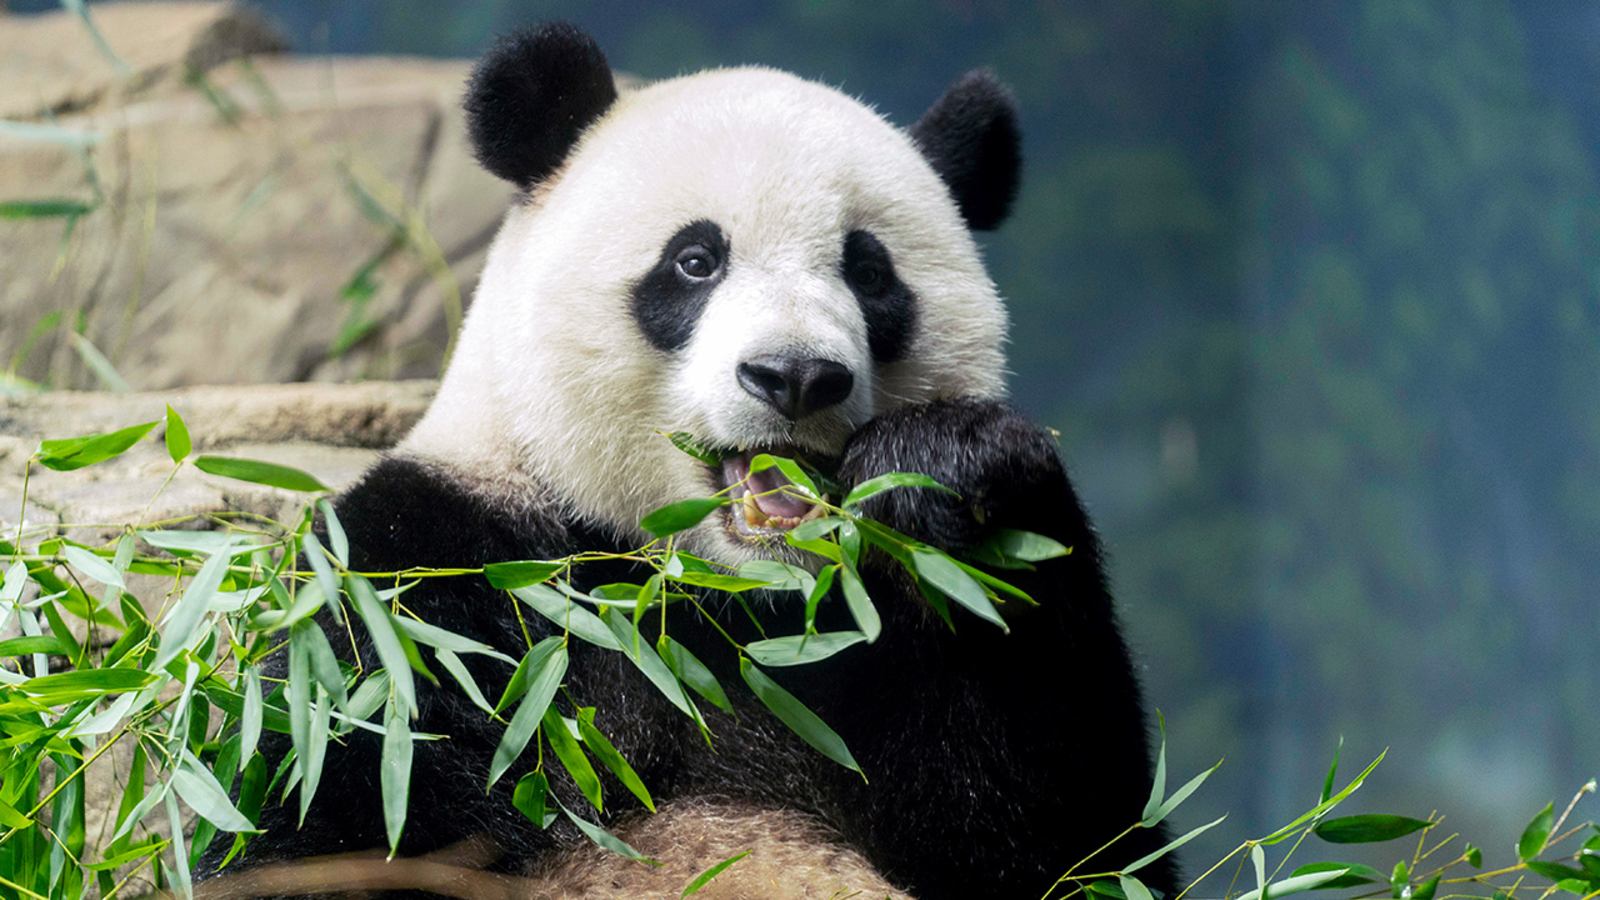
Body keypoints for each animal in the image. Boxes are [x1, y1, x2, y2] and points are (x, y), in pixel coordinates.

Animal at [200, 22, 1175, 900]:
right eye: (696, 261)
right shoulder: (424, 583)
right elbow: (323, 816)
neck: (713, 591)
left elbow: (1072, 841)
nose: (796, 376)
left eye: (869, 272)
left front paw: (949, 469)